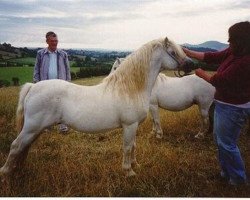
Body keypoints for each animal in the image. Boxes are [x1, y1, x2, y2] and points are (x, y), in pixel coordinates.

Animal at [0, 36, 193, 177]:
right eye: (172, 52)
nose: (191, 65)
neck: (130, 88)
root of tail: (32, 87)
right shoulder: (129, 125)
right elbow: (127, 147)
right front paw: (129, 172)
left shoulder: (134, 126)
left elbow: (134, 146)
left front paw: (135, 164)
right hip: (32, 128)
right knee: (16, 146)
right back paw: (7, 173)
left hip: (35, 129)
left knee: (24, 146)